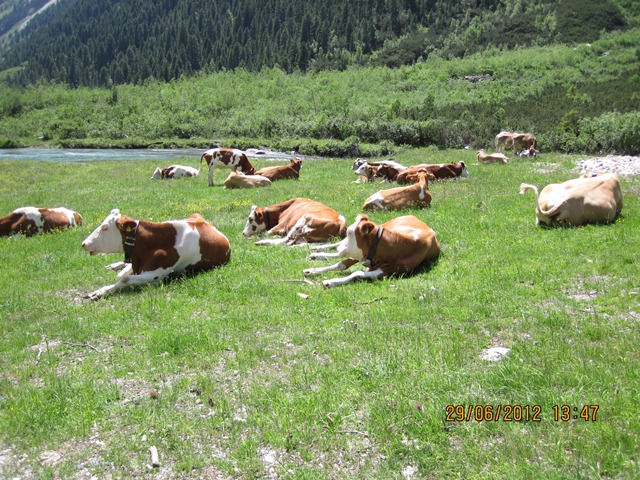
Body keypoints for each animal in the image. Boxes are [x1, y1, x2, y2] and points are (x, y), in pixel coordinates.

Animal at [81, 209, 230, 299]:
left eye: (105, 228)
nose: (83, 243)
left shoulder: (156, 276)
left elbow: (124, 279)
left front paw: (101, 291)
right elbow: (122, 276)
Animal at [304, 214, 440, 288]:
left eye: (350, 233)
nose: (340, 247)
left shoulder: (387, 271)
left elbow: (355, 273)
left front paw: (332, 282)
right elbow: (341, 264)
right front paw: (313, 270)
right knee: (337, 246)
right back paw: (317, 250)